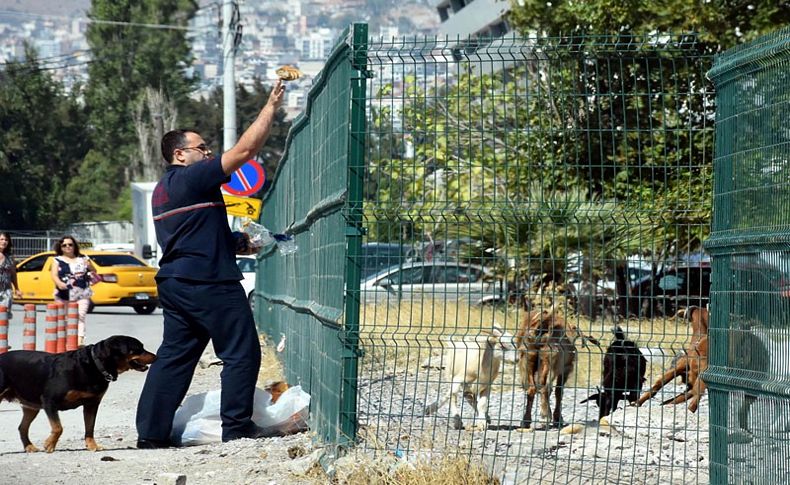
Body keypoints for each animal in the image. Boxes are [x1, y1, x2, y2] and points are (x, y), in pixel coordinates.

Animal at [0, 334, 158, 452]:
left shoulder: (92, 404)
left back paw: (30, 447)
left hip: (31, 406)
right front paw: (49, 445)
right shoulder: (49, 401)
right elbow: (58, 427)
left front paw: (92, 446)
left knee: (22, 427)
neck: (95, 364)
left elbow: (90, 427)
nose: (156, 356)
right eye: (138, 348)